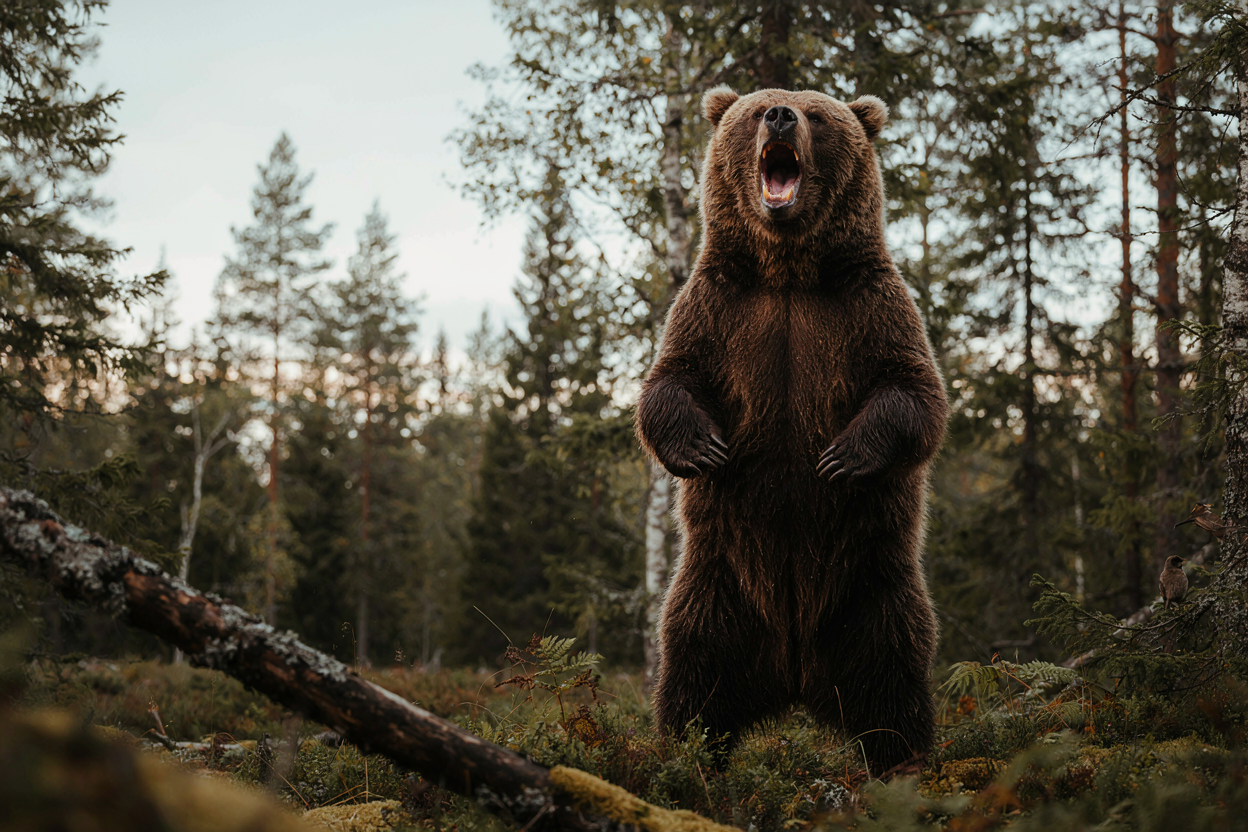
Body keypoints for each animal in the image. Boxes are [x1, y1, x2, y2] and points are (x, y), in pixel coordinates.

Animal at [634, 85, 949, 775]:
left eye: (819, 115)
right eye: (757, 110)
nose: (781, 116)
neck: (787, 271)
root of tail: (796, 677)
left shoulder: (869, 303)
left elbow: (916, 394)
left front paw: (842, 457)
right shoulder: (718, 305)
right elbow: (668, 382)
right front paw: (702, 447)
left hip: (871, 589)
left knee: (894, 678)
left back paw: (907, 762)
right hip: (717, 585)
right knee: (692, 672)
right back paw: (681, 757)